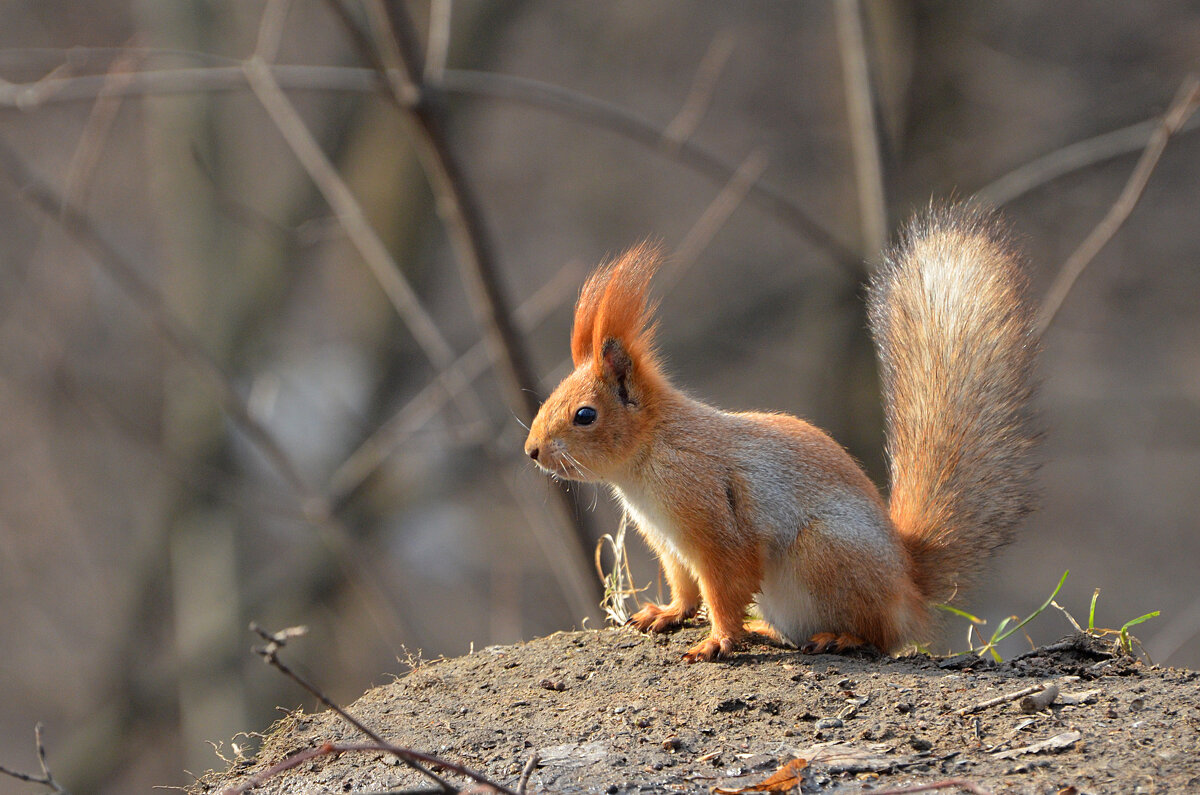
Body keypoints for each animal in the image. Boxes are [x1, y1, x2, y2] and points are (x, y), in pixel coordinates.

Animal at [525, 204, 1041, 658]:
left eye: (585, 415)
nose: (532, 451)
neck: (650, 453)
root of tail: (909, 586)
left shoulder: (712, 517)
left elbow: (724, 584)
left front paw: (719, 640)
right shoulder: (670, 543)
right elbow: (686, 587)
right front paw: (668, 613)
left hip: (823, 553)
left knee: (882, 634)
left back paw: (840, 638)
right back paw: (765, 629)